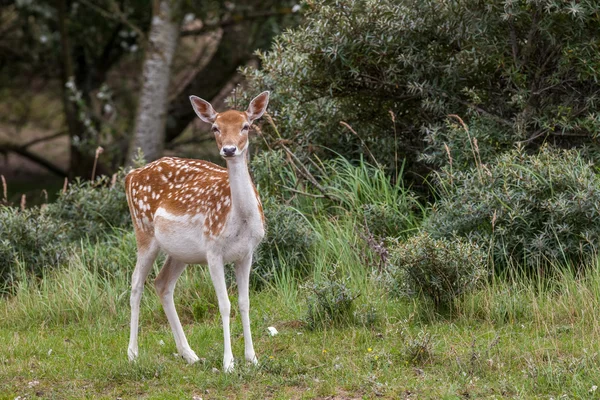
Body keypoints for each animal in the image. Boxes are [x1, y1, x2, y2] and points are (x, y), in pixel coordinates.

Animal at [124, 90, 270, 372]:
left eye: (246, 126)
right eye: (215, 127)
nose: (229, 149)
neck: (240, 220)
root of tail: (130, 175)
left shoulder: (247, 253)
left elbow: (244, 303)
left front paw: (253, 358)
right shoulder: (213, 250)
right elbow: (224, 305)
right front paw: (228, 363)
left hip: (181, 252)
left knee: (162, 283)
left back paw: (189, 354)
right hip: (144, 231)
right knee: (136, 283)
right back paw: (133, 354)